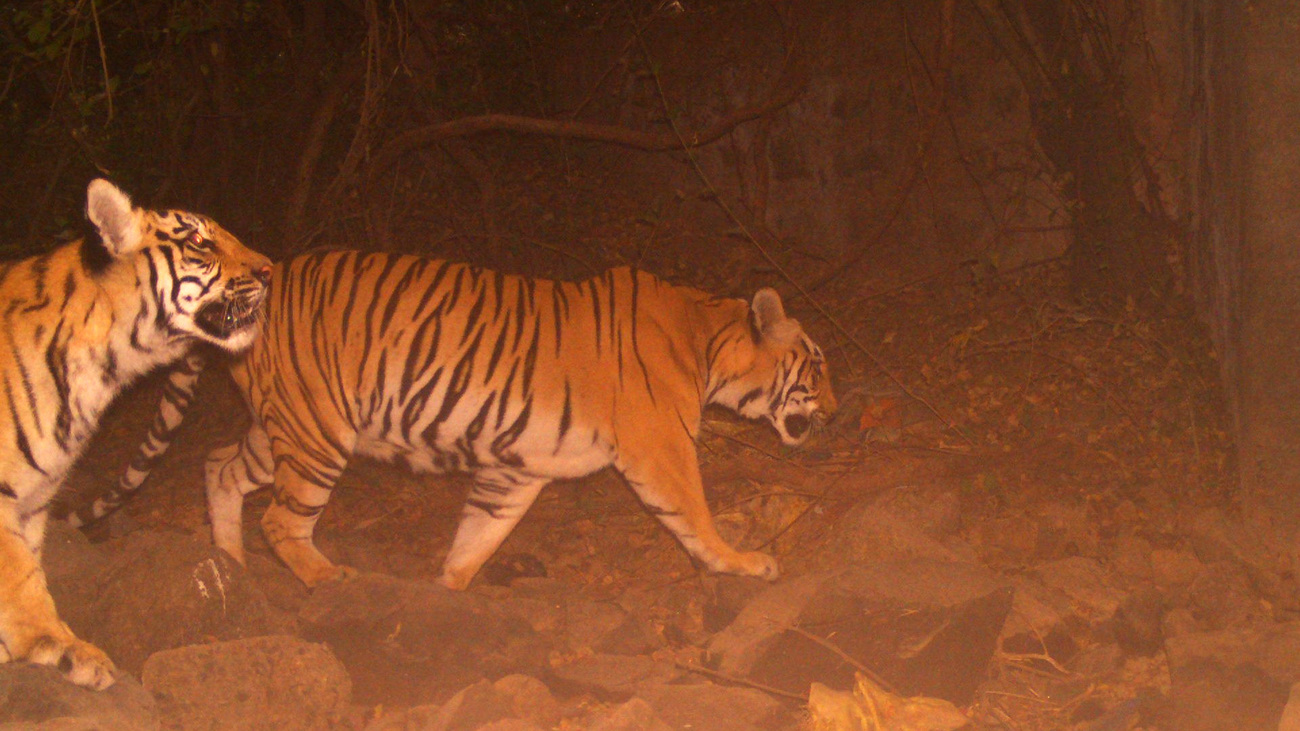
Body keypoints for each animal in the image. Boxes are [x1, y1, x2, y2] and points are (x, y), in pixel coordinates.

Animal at [0, 179, 272, 690]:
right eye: (199, 241)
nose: (269, 272)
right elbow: (23, 577)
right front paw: (63, 650)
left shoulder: (35, 499)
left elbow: (28, 568)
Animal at [88, 249, 835, 592]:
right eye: (818, 362)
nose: (835, 410)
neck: (707, 336)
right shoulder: (660, 448)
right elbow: (696, 515)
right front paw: (744, 561)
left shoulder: (517, 469)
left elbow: (479, 535)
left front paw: (448, 592)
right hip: (316, 435)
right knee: (280, 520)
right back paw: (331, 581)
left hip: (283, 428)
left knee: (218, 467)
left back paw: (230, 566)